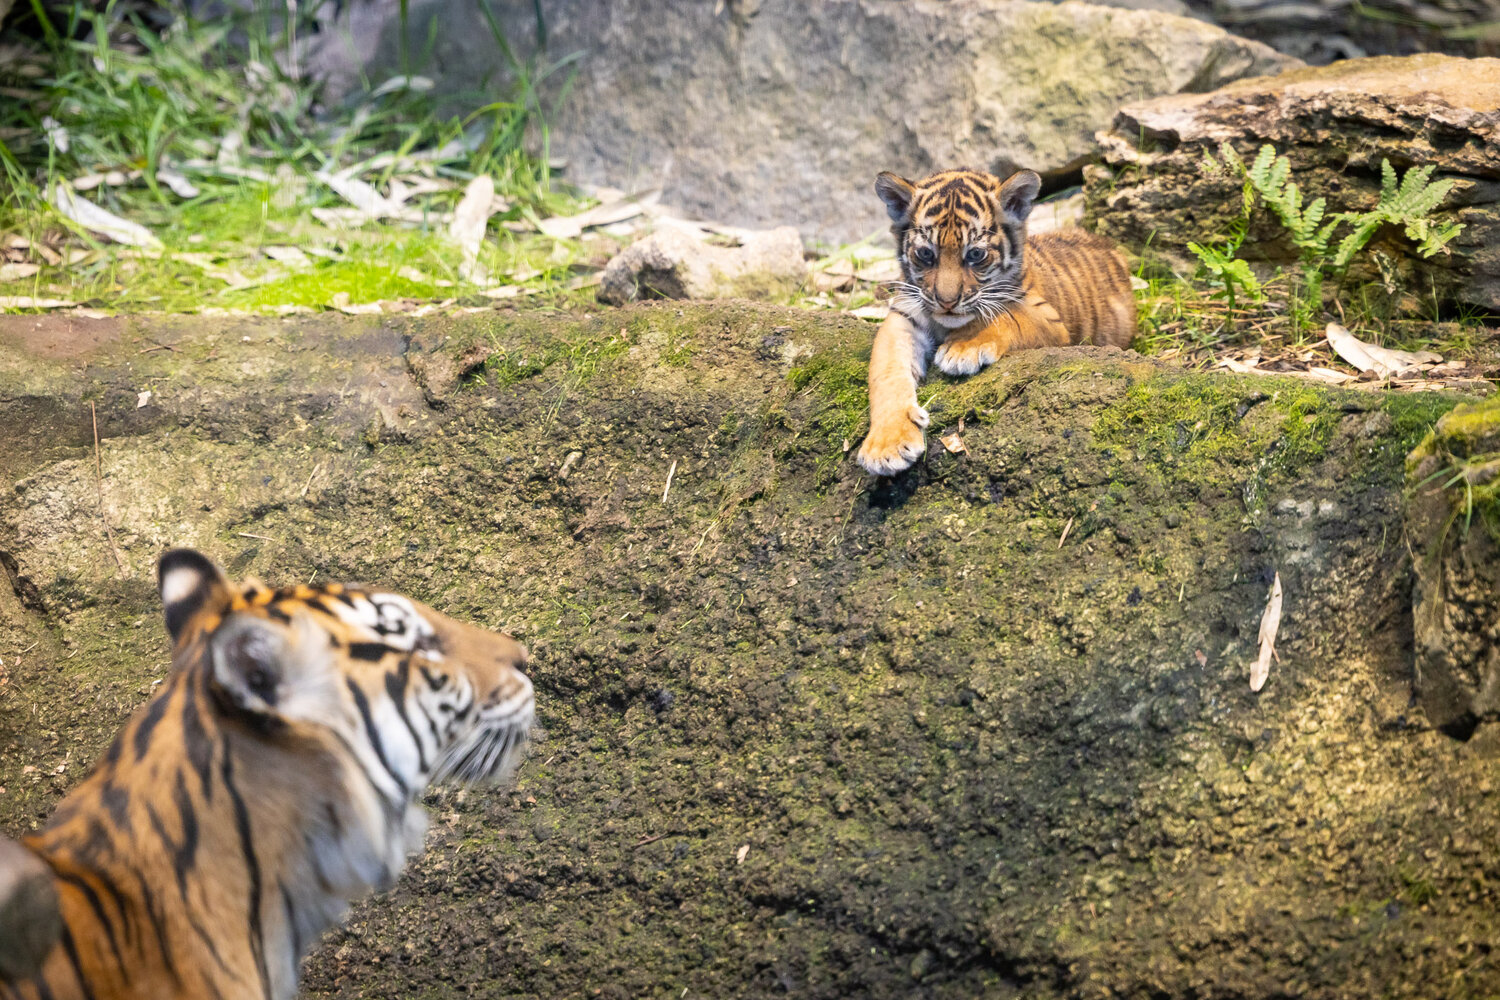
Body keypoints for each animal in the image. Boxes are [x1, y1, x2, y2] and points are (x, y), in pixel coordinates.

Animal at [855, 167, 1137, 476]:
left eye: (975, 254)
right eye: (926, 254)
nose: (946, 302)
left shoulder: (1046, 317)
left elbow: (1004, 318)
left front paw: (962, 349)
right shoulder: (903, 319)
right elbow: (886, 374)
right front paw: (888, 445)